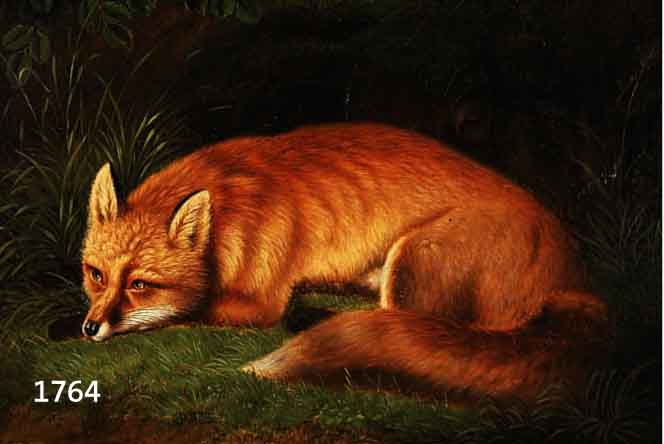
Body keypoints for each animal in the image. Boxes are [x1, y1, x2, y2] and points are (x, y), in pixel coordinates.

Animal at [81, 122, 609, 401]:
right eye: (97, 275)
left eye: (140, 284)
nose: (89, 328)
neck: (232, 212)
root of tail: (577, 282)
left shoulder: (259, 303)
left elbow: (191, 313)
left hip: (414, 258)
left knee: (413, 322)